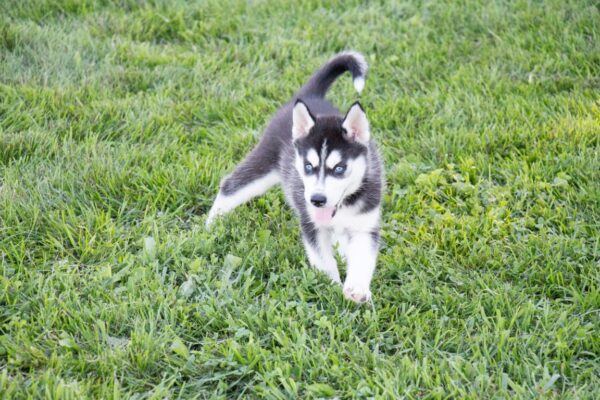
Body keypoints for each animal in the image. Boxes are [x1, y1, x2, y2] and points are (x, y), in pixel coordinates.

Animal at [206, 52, 384, 304]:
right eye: (308, 166)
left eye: (339, 168)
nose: (317, 200)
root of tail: (309, 96)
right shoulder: (311, 223)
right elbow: (323, 261)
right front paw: (330, 286)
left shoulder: (365, 224)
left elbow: (362, 258)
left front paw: (356, 289)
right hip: (263, 163)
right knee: (229, 185)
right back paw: (211, 225)